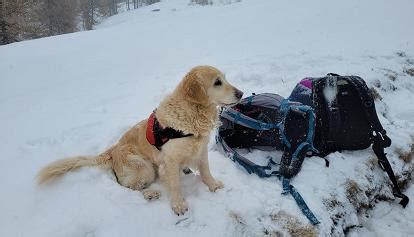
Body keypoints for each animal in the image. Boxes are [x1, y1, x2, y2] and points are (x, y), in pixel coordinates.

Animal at [37, 65, 243, 215]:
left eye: (225, 78)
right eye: (217, 82)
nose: (241, 93)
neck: (193, 114)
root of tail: (113, 150)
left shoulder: (201, 149)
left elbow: (206, 171)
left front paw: (213, 185)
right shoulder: (169, 160)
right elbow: (175, 184)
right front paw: (178, 205)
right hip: (144, 167)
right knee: (129, 186)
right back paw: (150, 193)